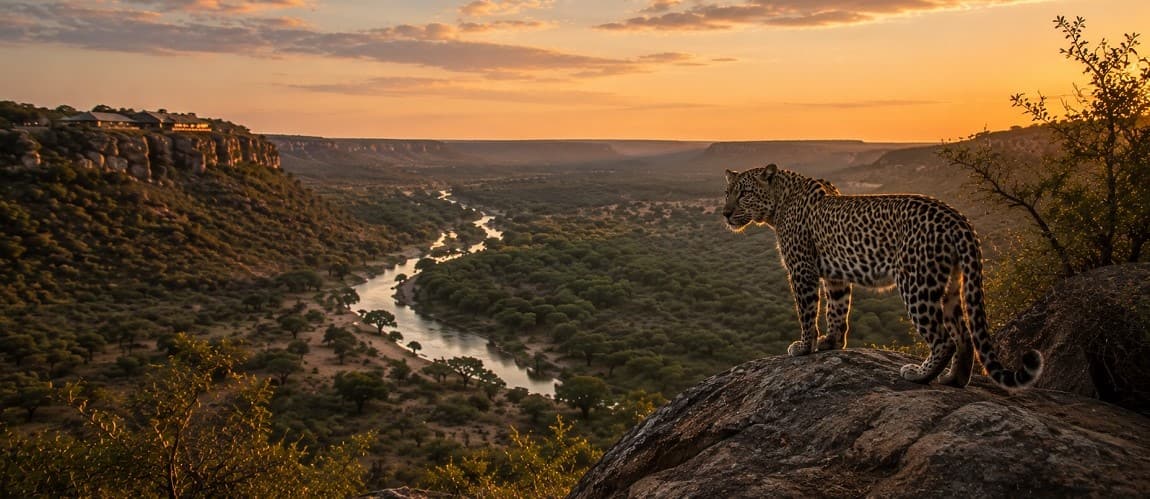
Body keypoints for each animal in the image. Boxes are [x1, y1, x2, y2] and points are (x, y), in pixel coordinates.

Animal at [723, 163, 1043, 389]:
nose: (725, 213)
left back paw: (919, 375)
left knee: (944, 339)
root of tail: (958, 219)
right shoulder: (835, 276)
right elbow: (837, 310)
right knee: (963, 335)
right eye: (727, 193)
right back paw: (954, 380)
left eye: (744, 193)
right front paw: (831, 343)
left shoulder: (802, 269)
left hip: (916, 284)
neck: (779, 203)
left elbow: (807, 312)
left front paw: (803, 347)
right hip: (952, 285)